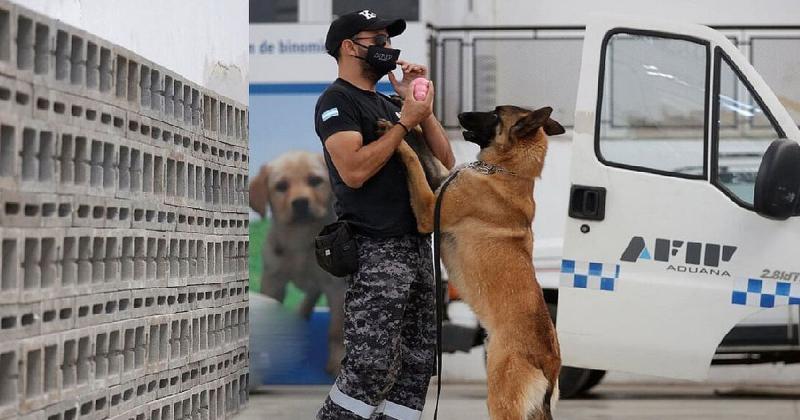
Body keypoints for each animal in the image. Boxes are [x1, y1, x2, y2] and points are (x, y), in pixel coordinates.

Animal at [248, 150, 346, 374]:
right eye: (281, 186)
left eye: (315, 181)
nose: (300, 203)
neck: (300, 239)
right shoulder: (273, 281)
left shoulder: (335, 287)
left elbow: (336, 329)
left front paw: (336, 362)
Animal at [382, 106, 564, 420]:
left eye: (495, 114)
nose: (460, 114)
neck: (507, 172)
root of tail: (549, 363)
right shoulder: (443, 180)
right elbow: (427, 153)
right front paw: (412, 125)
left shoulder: (428, 209)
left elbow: (414, 161)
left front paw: (398, 138)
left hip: (500, 401)